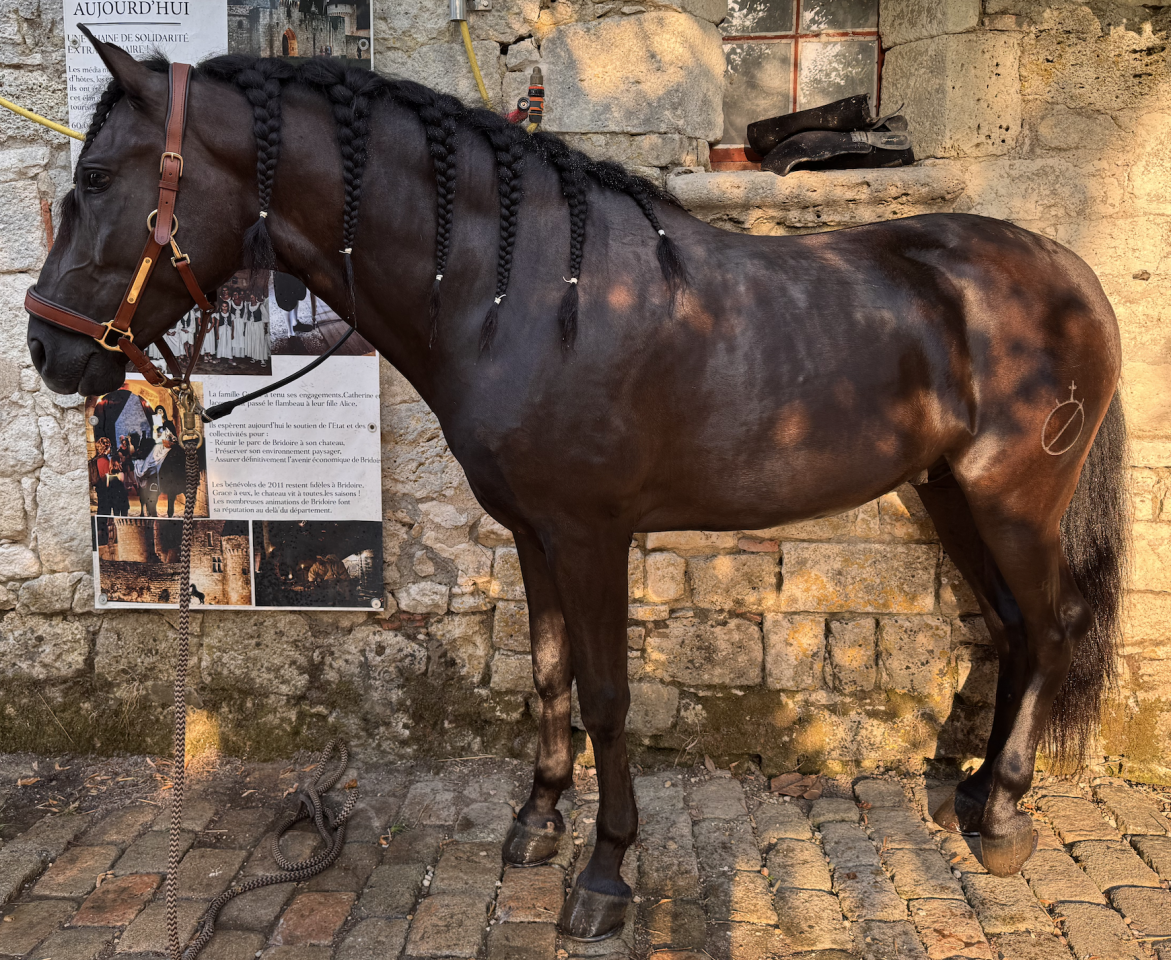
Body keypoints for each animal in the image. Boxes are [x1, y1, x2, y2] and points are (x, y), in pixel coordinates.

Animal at [26, 37, 1128, 941]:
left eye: (95, 176)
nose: (45, 347)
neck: (526, 292)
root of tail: (1065, 272)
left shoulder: (592, 534)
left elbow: (604, 695)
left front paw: (604, 875)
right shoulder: (532, 533)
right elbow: (549, 673)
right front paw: (536, 821)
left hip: (1013, 503)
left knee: (1050, 629)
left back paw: (1002, 815)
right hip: (950, 496)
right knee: (1011, 629)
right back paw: (978, 795)